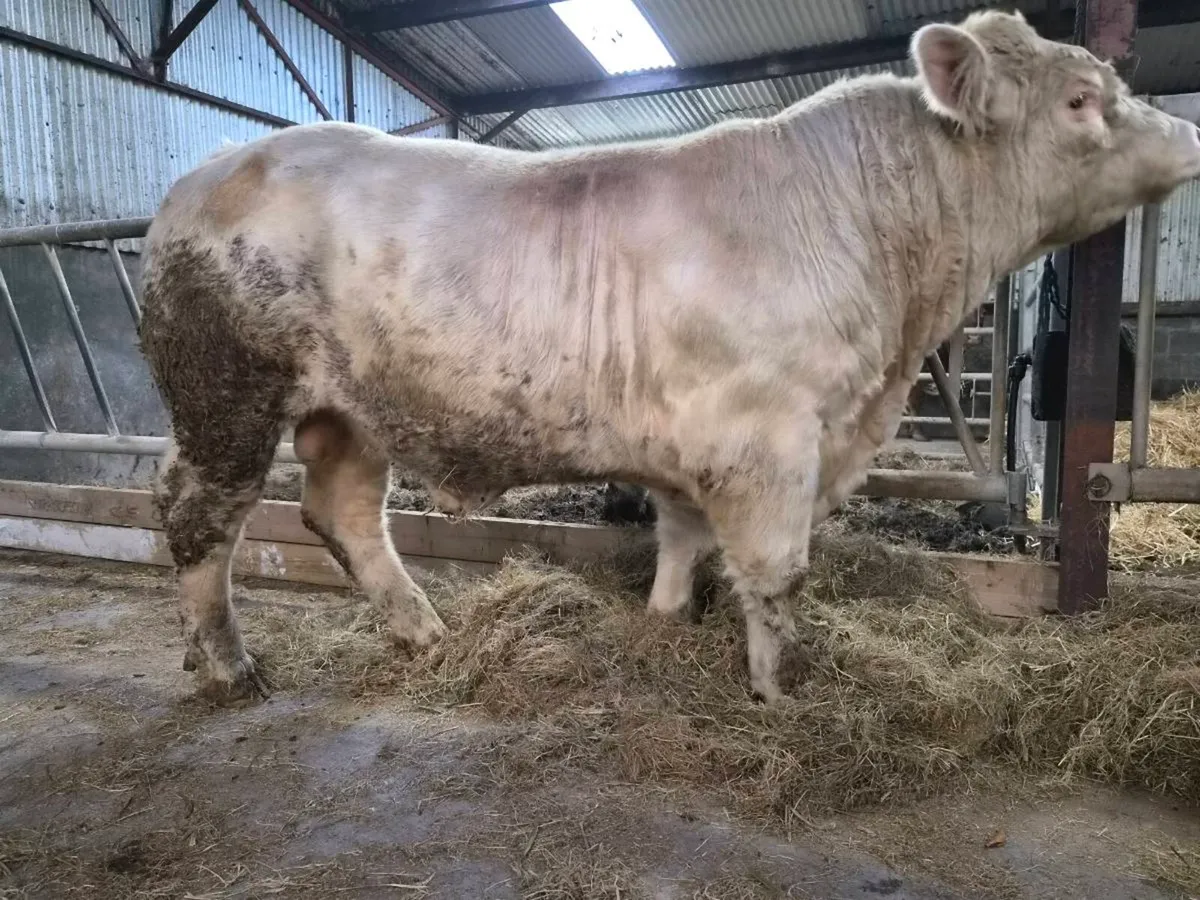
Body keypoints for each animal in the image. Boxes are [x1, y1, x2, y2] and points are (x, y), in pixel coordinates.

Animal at [138, 10, 1200, 705]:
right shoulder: (768, 439)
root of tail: (205, 173)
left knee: (344, 513)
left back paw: (425, 631)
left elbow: (684, 539)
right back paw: (230, 667)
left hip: (348, 408)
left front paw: (660, 625)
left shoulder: (703, 442)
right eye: (1081, 99)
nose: (1189, 132)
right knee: (199, 518)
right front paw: (779, 689)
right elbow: (776, 571)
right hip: (227, 394)